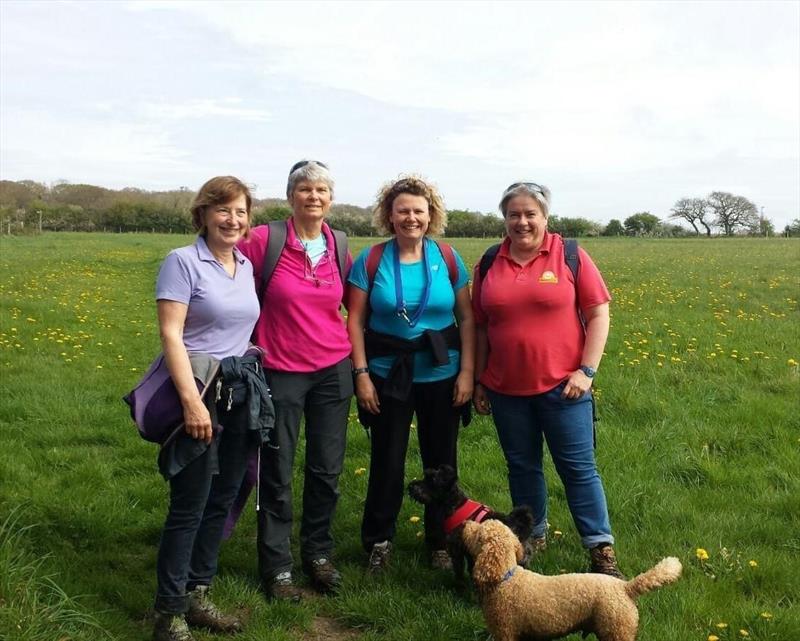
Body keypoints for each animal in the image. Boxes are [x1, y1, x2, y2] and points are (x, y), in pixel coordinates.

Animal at [462, 520, 680, 640]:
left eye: (479, 533)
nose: (465, 525)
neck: (506, 579)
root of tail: (625, 587)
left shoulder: (506, 631)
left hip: (616, 630)